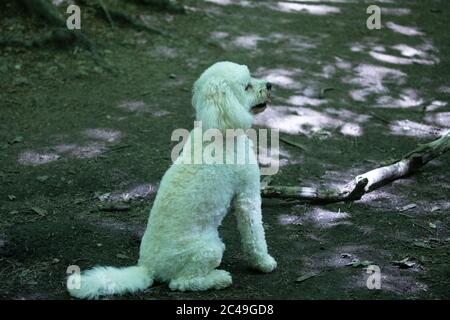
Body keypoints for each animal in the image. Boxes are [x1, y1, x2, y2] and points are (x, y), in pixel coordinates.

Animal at [68, 61, 276, 298]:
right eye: (247, 86)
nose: (270, 85)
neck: (219, 130)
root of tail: (148, 267)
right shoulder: (247, 195)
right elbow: (255, 234)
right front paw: (264, 263)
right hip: (209, 248)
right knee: (182, 283)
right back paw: (219, 278)